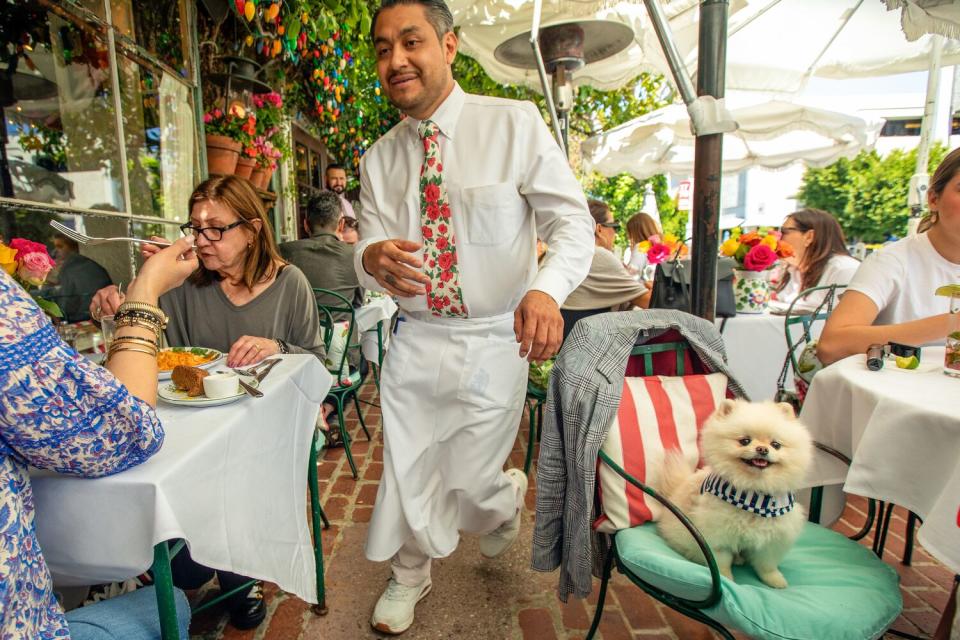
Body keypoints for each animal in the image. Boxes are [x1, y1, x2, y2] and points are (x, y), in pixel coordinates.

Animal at [652, 400, 808, 592]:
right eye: (744, 441)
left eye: (776, 444)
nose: (762, 449)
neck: (753, 496)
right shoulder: (718, 536)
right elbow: (722, 563)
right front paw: (726, 579)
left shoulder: (772, 540)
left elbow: (767, 564)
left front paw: (775, 580)